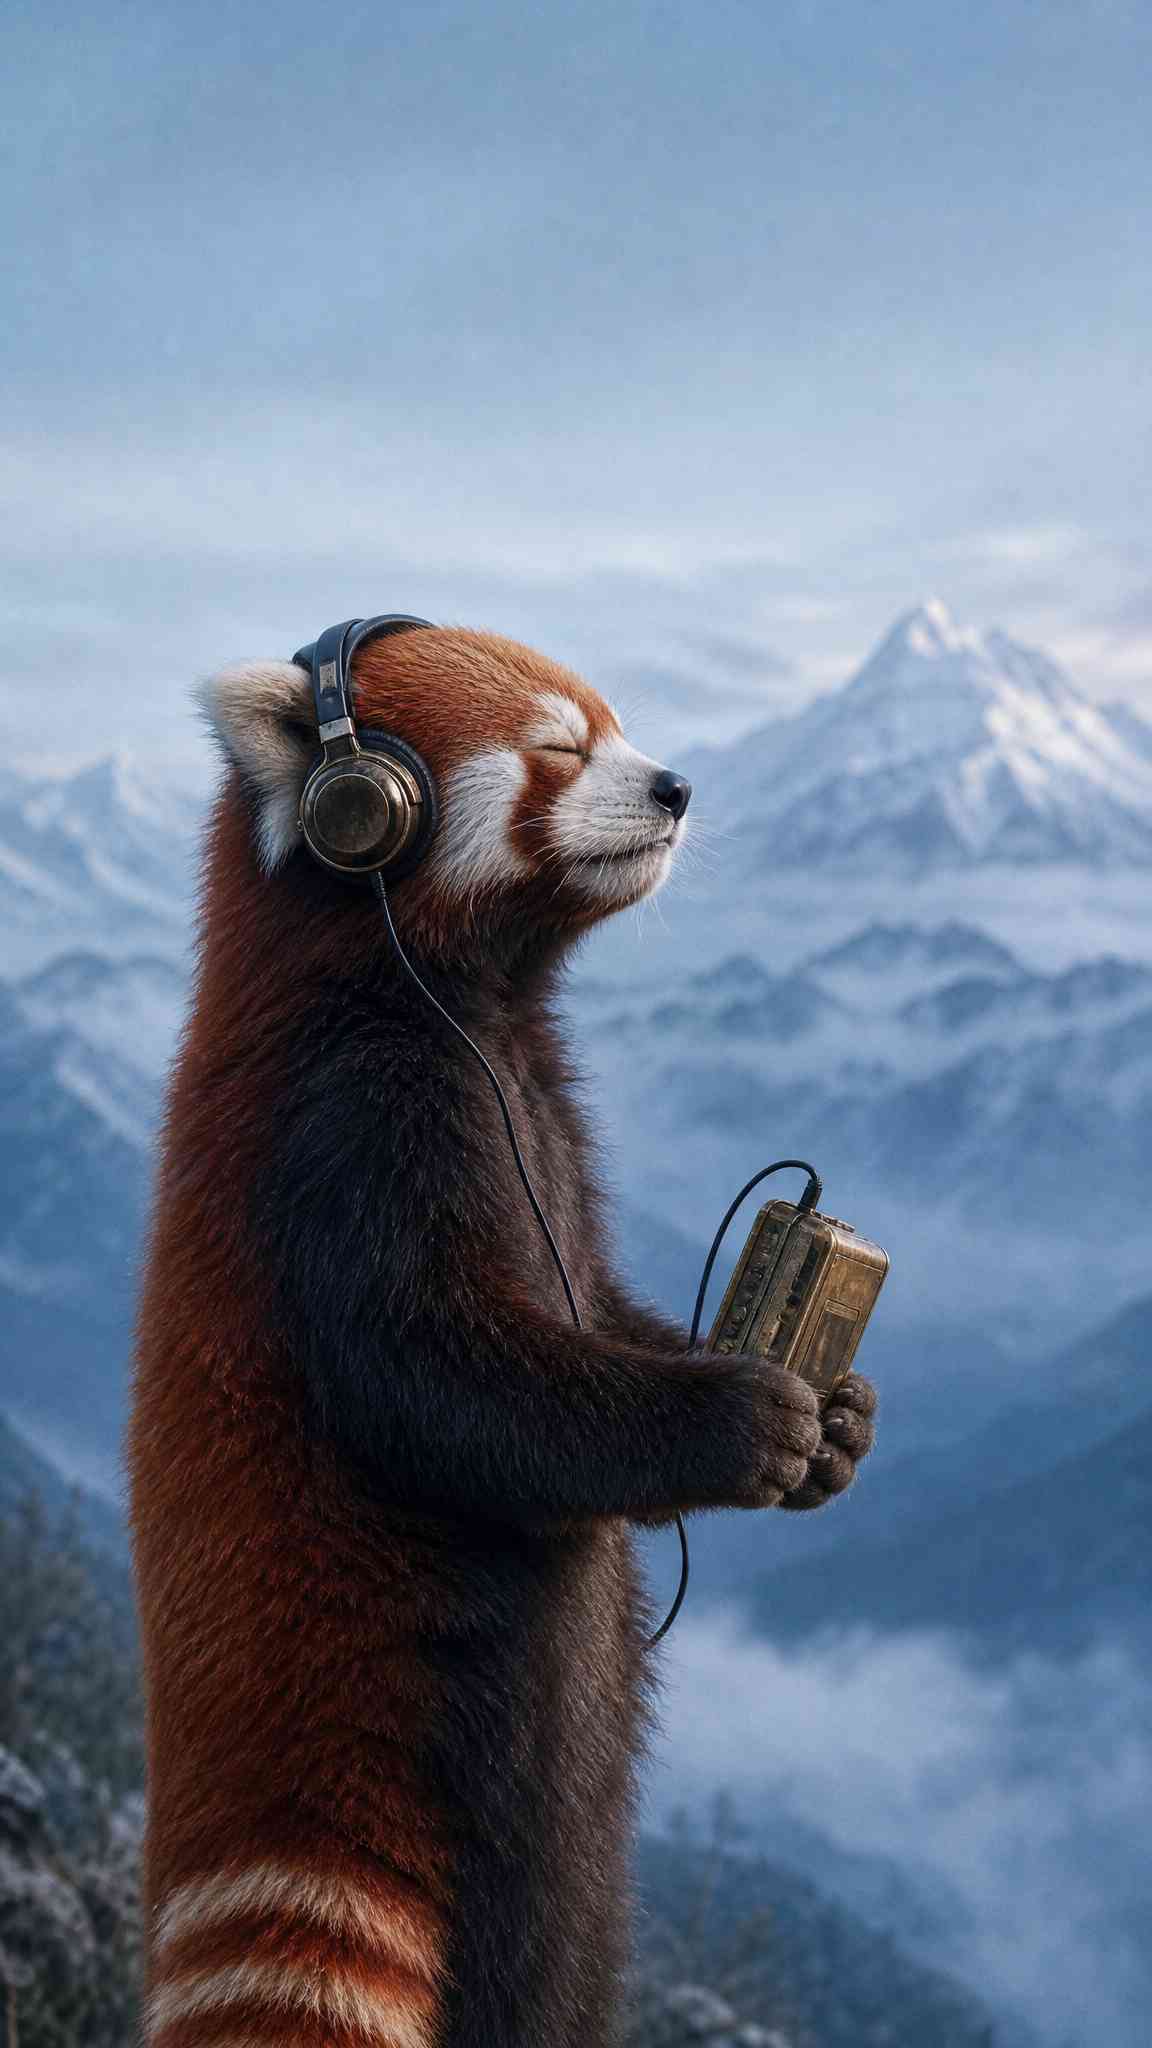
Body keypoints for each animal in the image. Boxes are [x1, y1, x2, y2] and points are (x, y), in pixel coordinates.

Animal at [129, 621, 876, 2048]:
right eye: (561, 748)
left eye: (622, 726)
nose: (678, 786)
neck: (453, 1004)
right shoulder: (343, 1127)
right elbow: (457, 1391)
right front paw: (737, 1419)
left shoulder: (551, 1120)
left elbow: (598, 1305)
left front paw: (837, 1424)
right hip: (422, 1729)